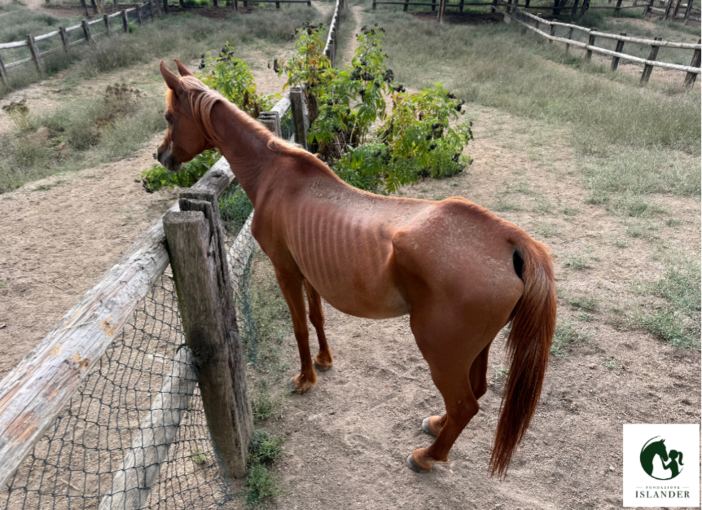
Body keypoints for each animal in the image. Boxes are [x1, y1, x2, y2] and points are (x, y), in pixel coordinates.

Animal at [156, 60, 557, 477]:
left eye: (170, 116)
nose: (161, 155)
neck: (273, 174)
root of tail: (509, 239)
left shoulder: (286, 271)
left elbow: (300, 327)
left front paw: (305, 378)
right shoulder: (307, 272)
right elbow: (316, 318)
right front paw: (324, 361)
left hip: (441, 352)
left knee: (465, 404)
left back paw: (426, 456)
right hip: (473, 350)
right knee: (472, 394)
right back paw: (436, 426)